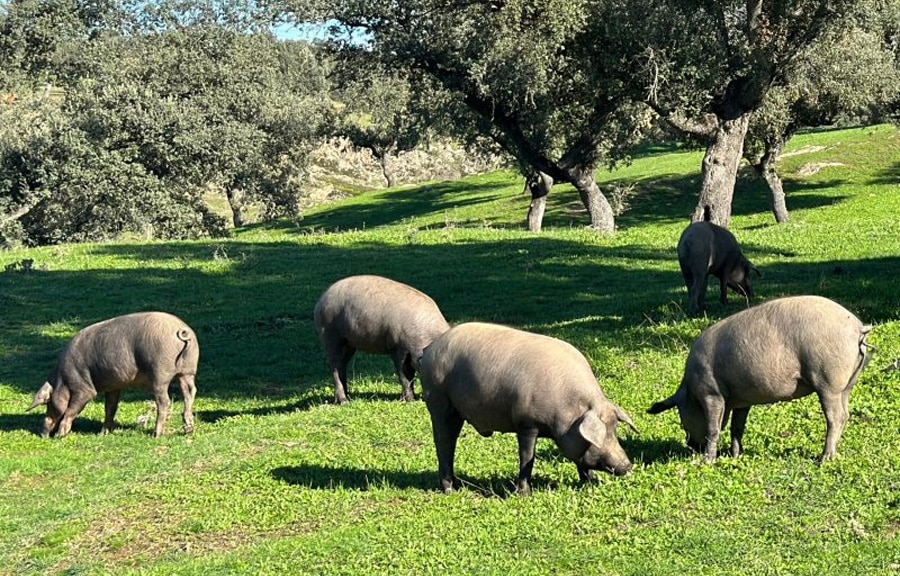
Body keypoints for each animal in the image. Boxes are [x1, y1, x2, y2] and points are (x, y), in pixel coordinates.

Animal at [27, 312, 199, 438]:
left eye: (48, 403)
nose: (42, 434)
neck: (62, 381)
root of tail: (181, 330)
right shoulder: (113, 386)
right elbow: (110, 407)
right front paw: (103, 434)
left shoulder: (83, 388)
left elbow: (72, 408)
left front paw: (60, 436)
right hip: (188, 371)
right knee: (190, 392)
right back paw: (188, 430)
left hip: (160, 374)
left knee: (164, 402)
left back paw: (156, 435)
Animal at [312, 276, 450, 404]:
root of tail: (321, 300)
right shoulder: (398, 348)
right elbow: (405, 375)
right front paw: (410, 400)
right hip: (331, 337)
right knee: (335, 366)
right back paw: (344, 401)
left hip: (349, 344)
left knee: (342, 365)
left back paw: (348, 397)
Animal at [418, 324, 636, 496]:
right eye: (601, 434)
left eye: (614, 429)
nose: (627, 465)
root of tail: (429, 350)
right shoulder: (526, 423)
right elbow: (527, 457)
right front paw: (525, 493)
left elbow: (579, 462)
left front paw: (591, 483)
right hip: (439, 401)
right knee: (444, 442)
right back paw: (450, 490)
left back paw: (458, 485)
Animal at [648, 296, 872, 464]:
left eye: (681, 419)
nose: (691, 446)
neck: (691, 390)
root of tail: (858, 328)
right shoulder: (741, 400)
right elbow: (737, 428)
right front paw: (736, 456)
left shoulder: (711, 393)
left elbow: (713, 429)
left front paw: (708, 462)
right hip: (848, 383)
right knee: (846, 414)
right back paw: (833, 454)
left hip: (828, 381)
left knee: (836, 417)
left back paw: (824, 458)